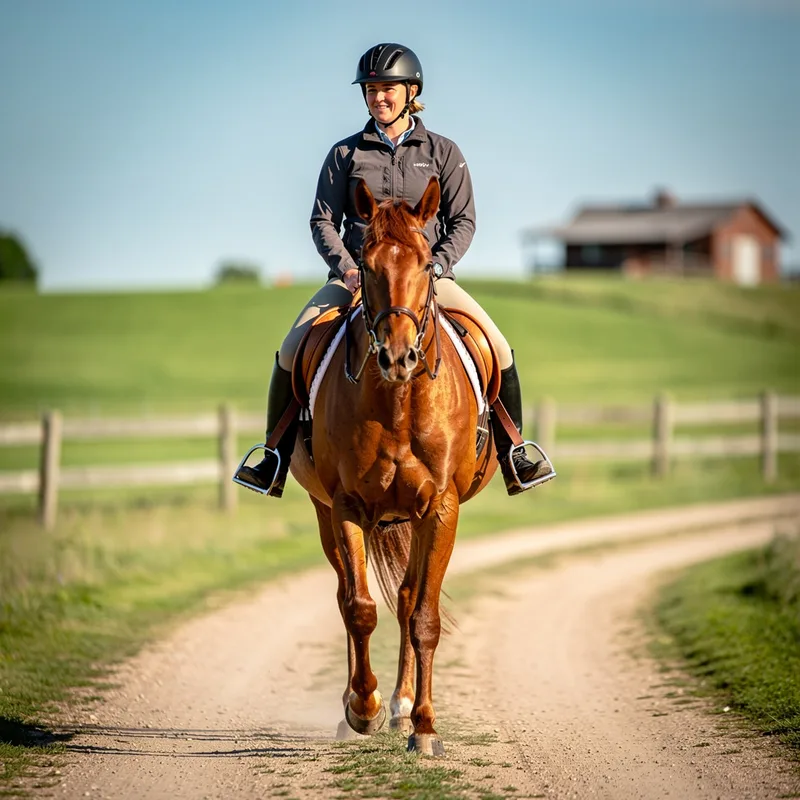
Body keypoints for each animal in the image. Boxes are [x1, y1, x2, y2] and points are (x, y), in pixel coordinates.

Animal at [289, 176, 498, 757]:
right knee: (346, 595)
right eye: (365, 261)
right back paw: (360, 708)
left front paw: (424, 727)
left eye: (428, 262)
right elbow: (359, 607)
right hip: (325, 514)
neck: (399, 403)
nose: (399, 357)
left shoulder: (440, 508)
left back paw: (404, 707)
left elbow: (423, 616)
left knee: (405, 600)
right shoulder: (346, 506)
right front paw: (363, 709)